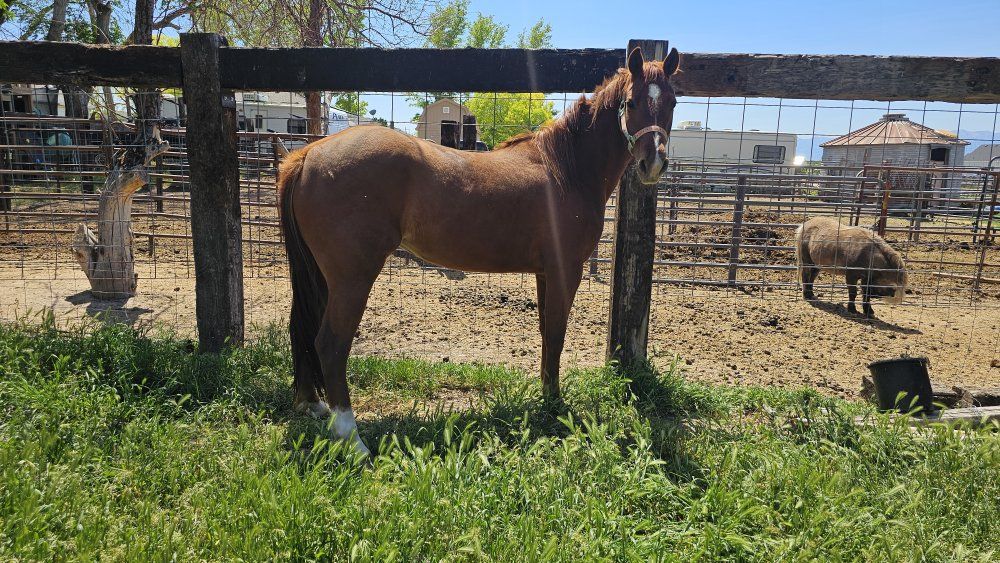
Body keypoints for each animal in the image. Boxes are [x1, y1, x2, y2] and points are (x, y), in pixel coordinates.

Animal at [278, 45, 681, 454]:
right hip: (352, 277)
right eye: (631, 102)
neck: (567, 169)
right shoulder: (566, 270)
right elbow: (556, 333)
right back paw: (352, 438)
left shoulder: (546, 272)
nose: (653, 163)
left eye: (672, 103)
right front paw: (555, 404)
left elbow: (546, 333)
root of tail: (309, 155)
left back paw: (314, 404)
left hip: (321, 275)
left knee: (303, 329)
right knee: (331, 344)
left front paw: (547, 396)